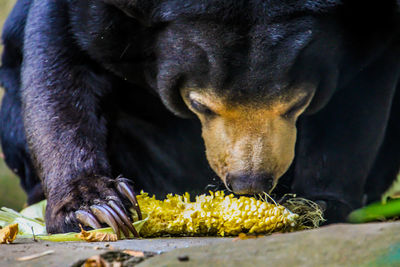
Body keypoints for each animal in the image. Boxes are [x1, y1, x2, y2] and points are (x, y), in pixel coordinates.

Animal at [0, 0, 398, 234]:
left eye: (297, 103)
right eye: (200, 104)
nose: (249, 183)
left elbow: (359, 99)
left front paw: (319, 202)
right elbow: (58, 63)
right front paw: (97, 207)